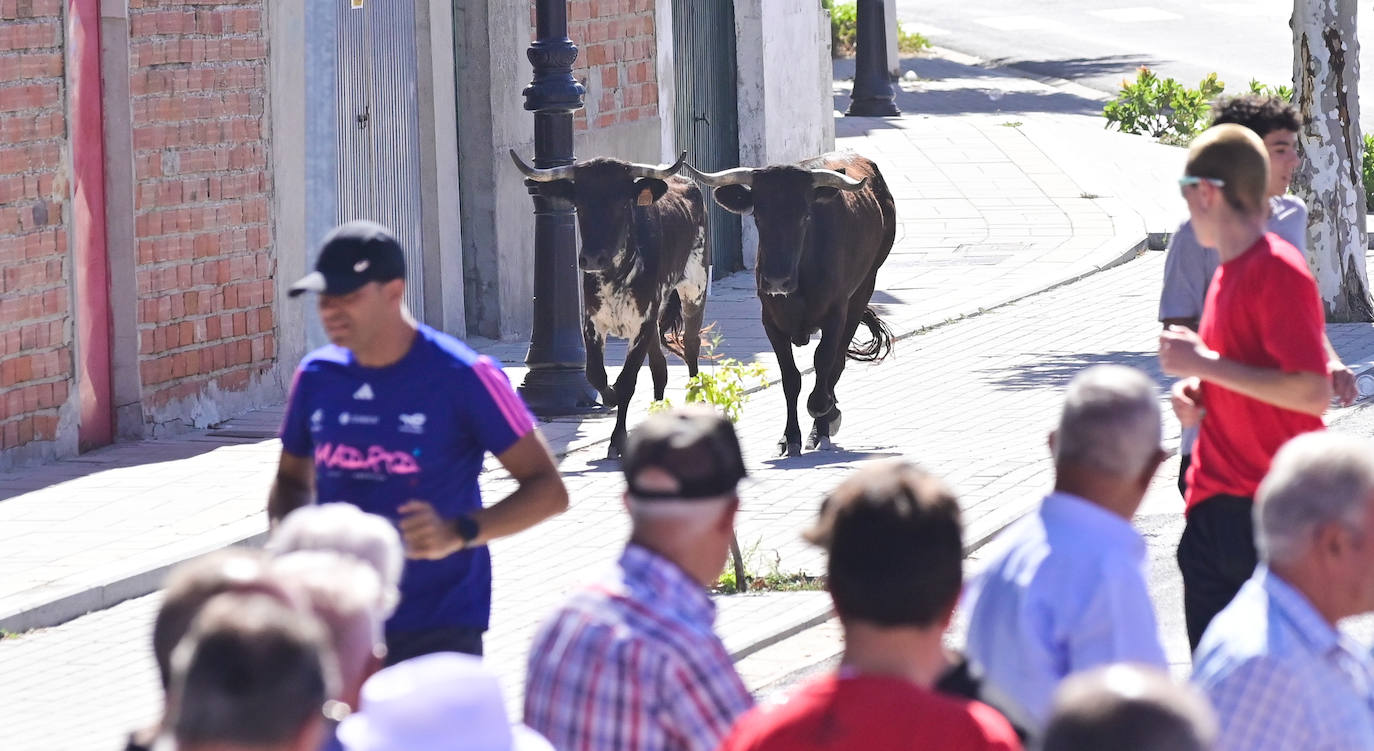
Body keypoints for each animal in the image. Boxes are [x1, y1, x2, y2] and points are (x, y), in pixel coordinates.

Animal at [513, 149, 708, 458]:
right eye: (579, 202)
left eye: (620, 202)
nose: (592, 259)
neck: (616, 272)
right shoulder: (593, 323)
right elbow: (595, 374)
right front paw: (610, 397)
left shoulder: (641, 324)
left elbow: (627, 381)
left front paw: (617, 438)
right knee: (660, 367)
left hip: (694, 290)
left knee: (690, 345)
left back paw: (697, 400)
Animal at [681, 153, 895, 458]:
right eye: (758, 217)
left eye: (805, 217)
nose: (776, 281)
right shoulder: (771, 322)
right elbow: (790, 378)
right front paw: (789, 437)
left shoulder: (836, 315)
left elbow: (824, 363)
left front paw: (822, 413)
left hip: (863, 291)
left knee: (837, 362)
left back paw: (825, 423)